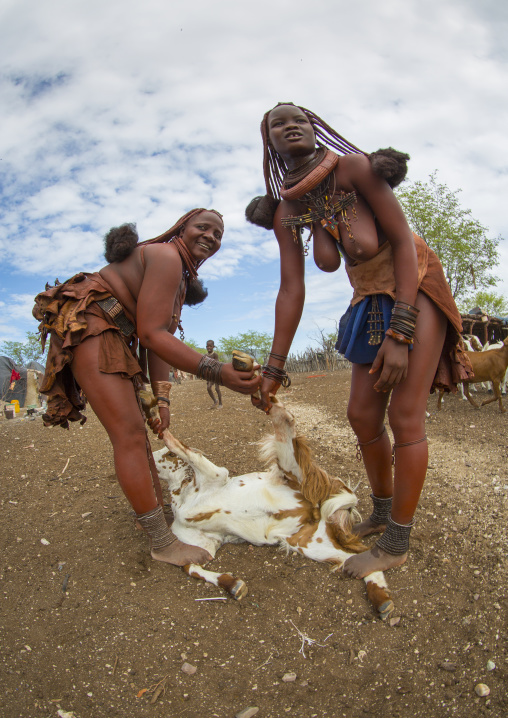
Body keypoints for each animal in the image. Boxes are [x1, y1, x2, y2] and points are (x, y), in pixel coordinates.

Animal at [142, 394, 394, 621]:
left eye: (168, 456)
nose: (149, 457)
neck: (182, 495)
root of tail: (316, 505)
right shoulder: (204, 545)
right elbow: (191, 567)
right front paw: (233, 584)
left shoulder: (216, 474)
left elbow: (186, 450)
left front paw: (157, 420)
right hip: (311, 543)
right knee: (357, 559)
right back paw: (382, 602)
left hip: (292, 470)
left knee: (286, 426)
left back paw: (274, 406)